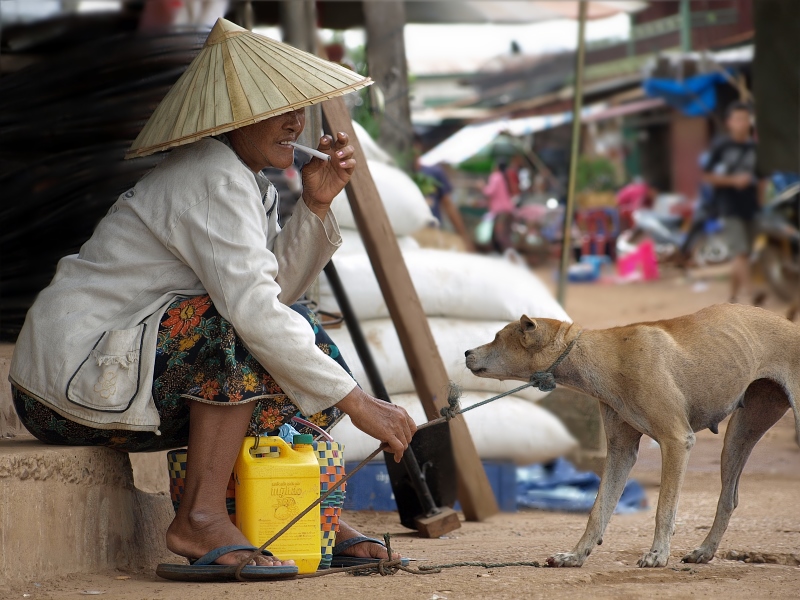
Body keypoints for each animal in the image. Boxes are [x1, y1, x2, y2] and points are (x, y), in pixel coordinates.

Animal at [466, 304, 800, 568]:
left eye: (497, 337)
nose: (467, 352)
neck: (606, 356)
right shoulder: (620, 452)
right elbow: (598, 509)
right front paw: (575, 555)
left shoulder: (677, 440)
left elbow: (664, 508)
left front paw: (658, 555)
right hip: (739, 436)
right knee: (729, 498)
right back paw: (705, 551)